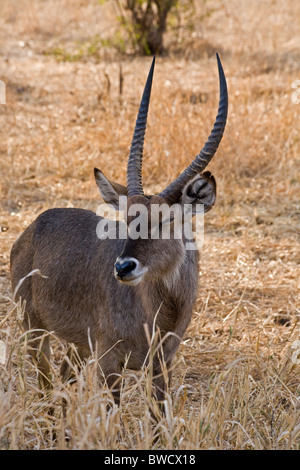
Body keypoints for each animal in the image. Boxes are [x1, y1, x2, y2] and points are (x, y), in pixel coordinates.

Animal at [10, 54, 229, 408]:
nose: (124, 267)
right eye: (127, 220)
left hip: (78, 345)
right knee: (45, 385)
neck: (162, 312)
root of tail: (35, 225)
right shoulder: (109, 363)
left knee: (63, 377)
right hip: (35, 330)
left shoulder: (162, 366)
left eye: (166, 220)